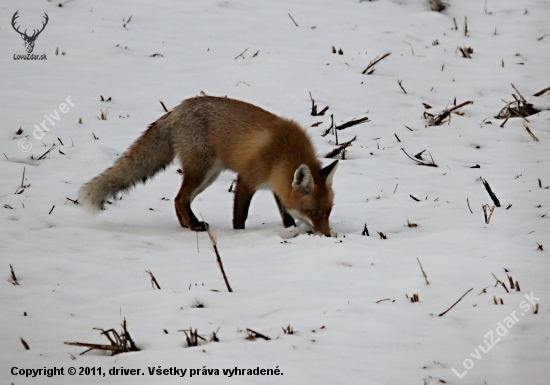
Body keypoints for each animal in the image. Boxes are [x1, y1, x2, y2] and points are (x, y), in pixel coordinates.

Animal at [79, 94, 338, 236]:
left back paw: (187, 225)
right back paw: (195, 227)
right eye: (313, 212)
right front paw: (239, 234)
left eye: (328, 211)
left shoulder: (278, 187)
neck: (282, 154)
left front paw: (289, 229)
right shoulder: (246, 179)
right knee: (179, 198)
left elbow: (286, 215)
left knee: (180, 200)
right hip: (202, 171)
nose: (327, 235)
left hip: (209, 176)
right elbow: (240, 217)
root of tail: (177, 109)